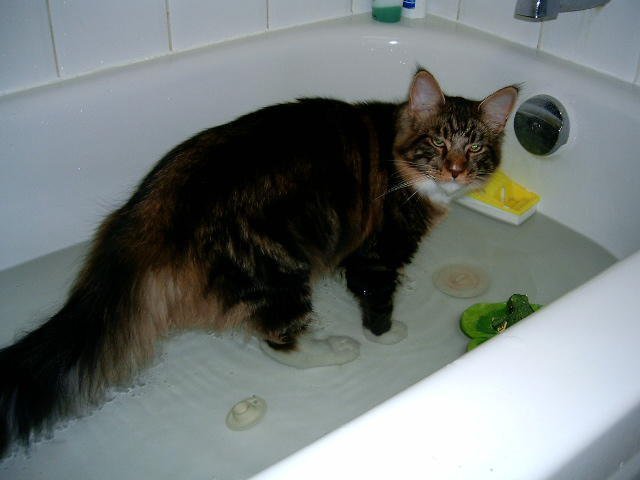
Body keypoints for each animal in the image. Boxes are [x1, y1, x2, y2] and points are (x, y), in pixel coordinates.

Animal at [0, 68, 516, 454]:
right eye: (438, 143)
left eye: (474, 147)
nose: (456, 171)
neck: (399, 158)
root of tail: (152, 206)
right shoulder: (375, 254)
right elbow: (378, 303)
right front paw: (386, 335)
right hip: (279, 268)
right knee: (279, 341)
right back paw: (334, 350)